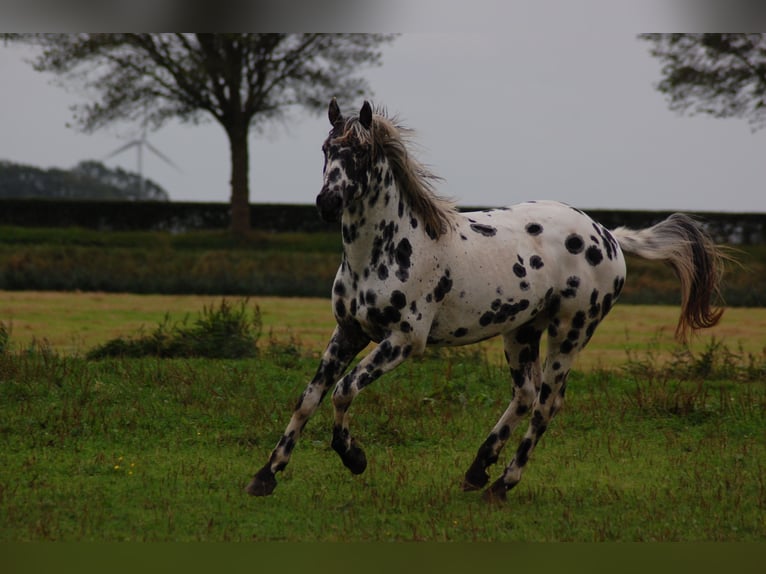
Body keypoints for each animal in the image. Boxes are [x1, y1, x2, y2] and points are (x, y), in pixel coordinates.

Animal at [248, 100, 728, 504]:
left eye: (362, 152)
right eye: (327, 148)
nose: (327, 203)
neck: (388, 247)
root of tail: (608, 235)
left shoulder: (403, 341)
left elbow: (343, 390)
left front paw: (354, 457)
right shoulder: (347, 331)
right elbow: (309, 397)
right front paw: (265, 475)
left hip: (570, 333)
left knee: (547, 404)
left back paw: (502, 484)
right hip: (521, 332)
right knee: (526, 393)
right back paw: (478, 469)